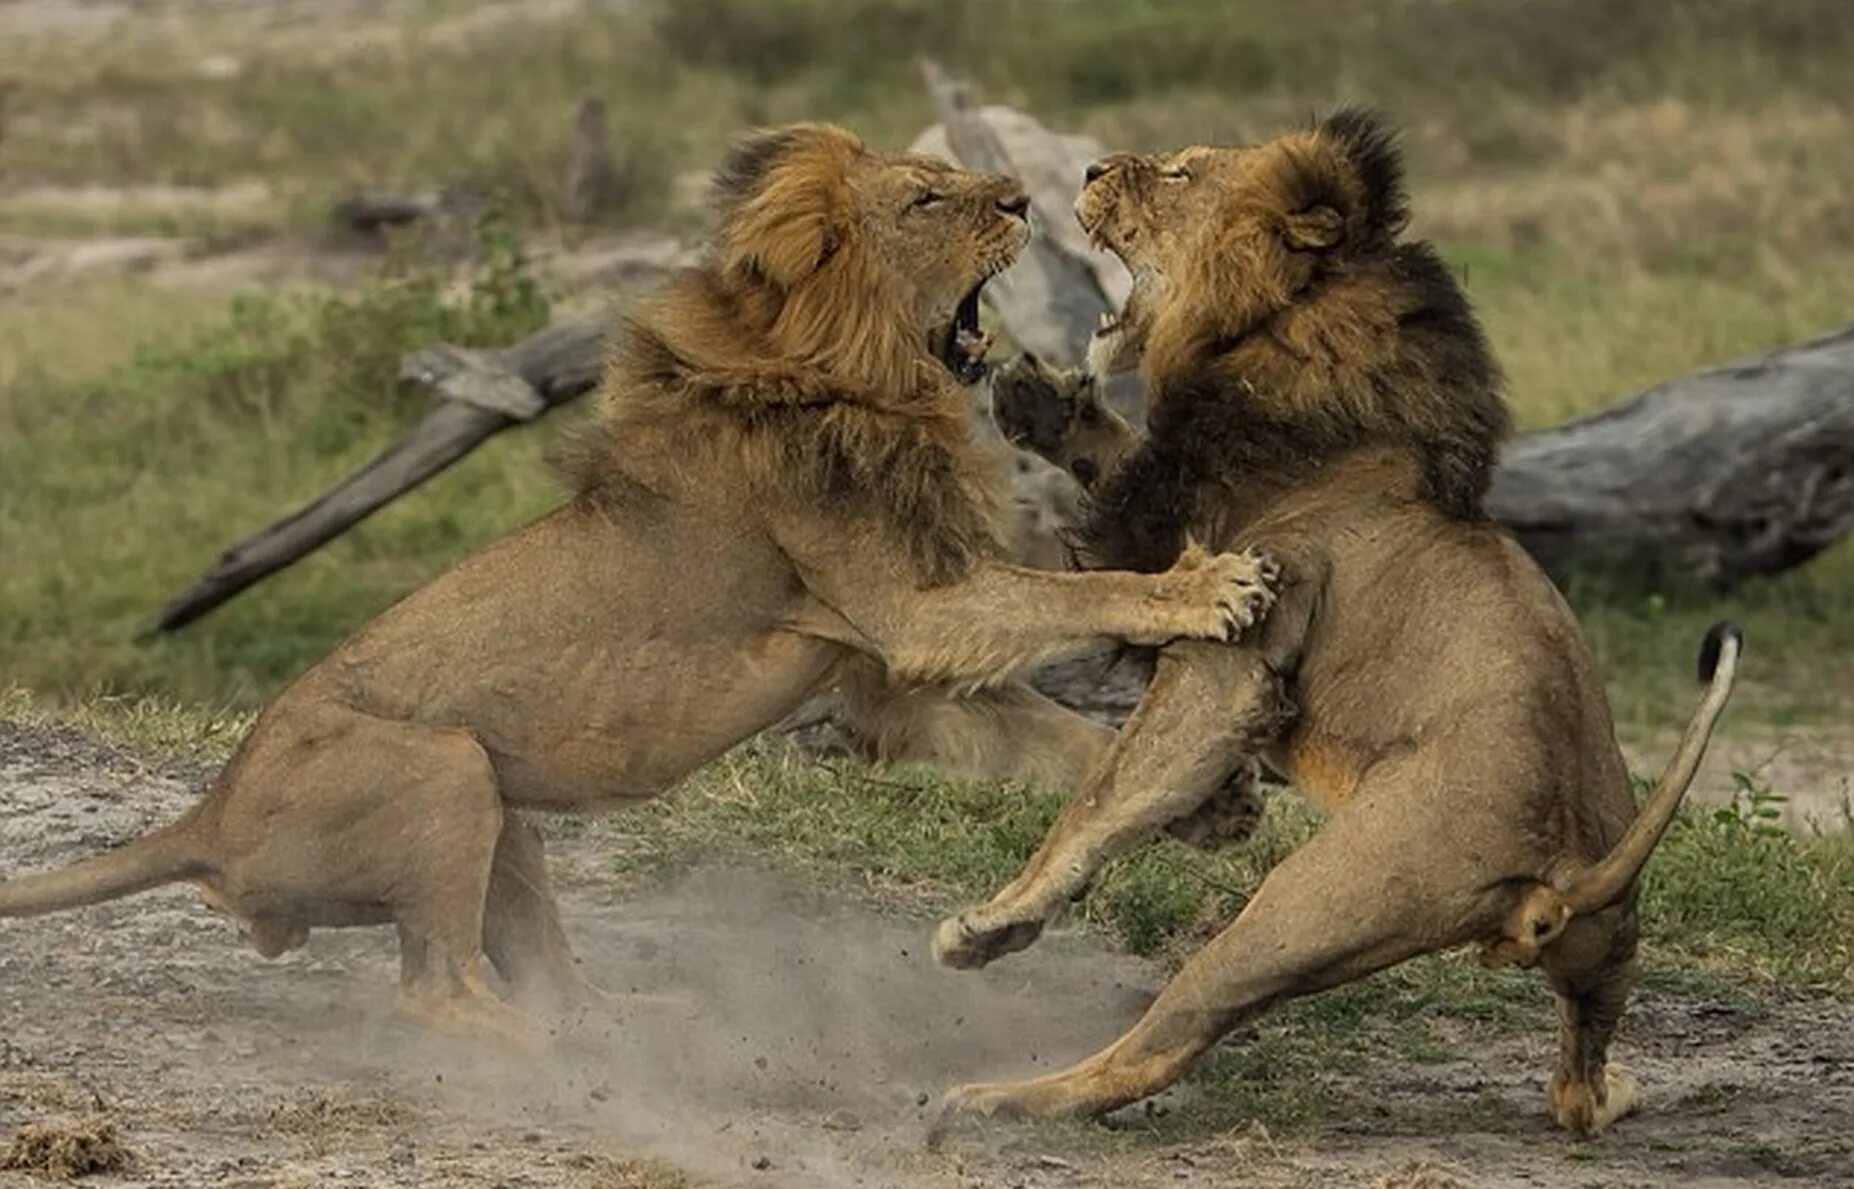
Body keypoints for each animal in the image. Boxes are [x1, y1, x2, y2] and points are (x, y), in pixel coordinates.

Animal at [0, 125, 1275, 1046]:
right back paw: (571, 1056)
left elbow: (1063, 740)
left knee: (513, 971)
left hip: (495, 802)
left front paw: (1213, 806)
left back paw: (626, 1018)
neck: (849, 379)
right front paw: (1209, 585)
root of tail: (208, 815)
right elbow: (1072, 599)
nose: (1019, 201)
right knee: (437, 995)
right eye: (927, 202)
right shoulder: (915, 609)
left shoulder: (885, 675)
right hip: (442, 766)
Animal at [941, 108, 1735, 1127]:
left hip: (1309, 901)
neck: (1270, 337)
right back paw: (1613, 1089)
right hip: (1604, 956)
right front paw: (1038, 400)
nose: (1087, 169)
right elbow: (1118, 461)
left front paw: (996, 921)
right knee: (1581, 1085)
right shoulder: (1184, 524)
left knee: (1163, 1039)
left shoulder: (1235, 650)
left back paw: (991, 1099)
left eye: (1180, 172)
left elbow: (1103, 799)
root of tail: (1570, 868)